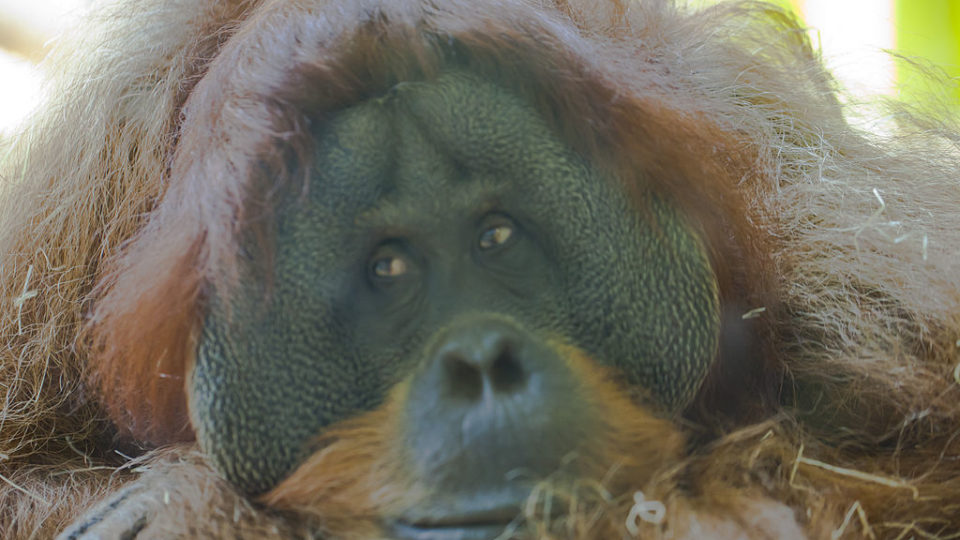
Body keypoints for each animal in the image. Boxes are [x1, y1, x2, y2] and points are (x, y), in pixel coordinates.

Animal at [1, 0, 959, 538]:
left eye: (497, 236)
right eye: (389, 267)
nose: (482, 363)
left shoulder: (834, 236)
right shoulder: (65, 219)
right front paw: (193, 512)